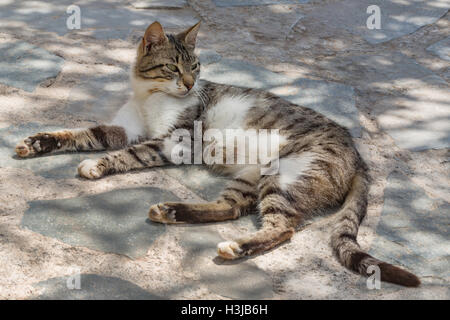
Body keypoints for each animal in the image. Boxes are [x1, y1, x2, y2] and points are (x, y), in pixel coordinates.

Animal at [15, 21, 420, 288]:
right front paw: (39, 142)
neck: (150, 97)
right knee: (231, 208)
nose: (189, 83)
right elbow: (84, 134)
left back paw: (235, 245)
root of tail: (358, 154)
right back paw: (172, 211)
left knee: (283, 228)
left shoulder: (175, 142)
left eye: (195, 68)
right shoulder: (123, 127)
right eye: (173, 67)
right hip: (251, 177)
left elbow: (131, 153)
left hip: (284, 176)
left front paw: (97, 164)